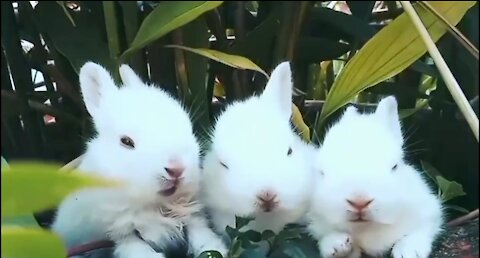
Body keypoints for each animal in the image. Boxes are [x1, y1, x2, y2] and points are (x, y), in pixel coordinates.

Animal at [51, 62, 228, 258]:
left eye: (187, 128)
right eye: (126, 141)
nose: (176, 169)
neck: (155, 204)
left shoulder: (191, 218)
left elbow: (202, 236)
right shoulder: (122, 235)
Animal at [306, 96, 444, 258]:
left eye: (395, 166)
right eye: (322, 172)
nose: (360, 201)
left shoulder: (429, 211)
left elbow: (419, 231)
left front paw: (408, 251)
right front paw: (338, 245)